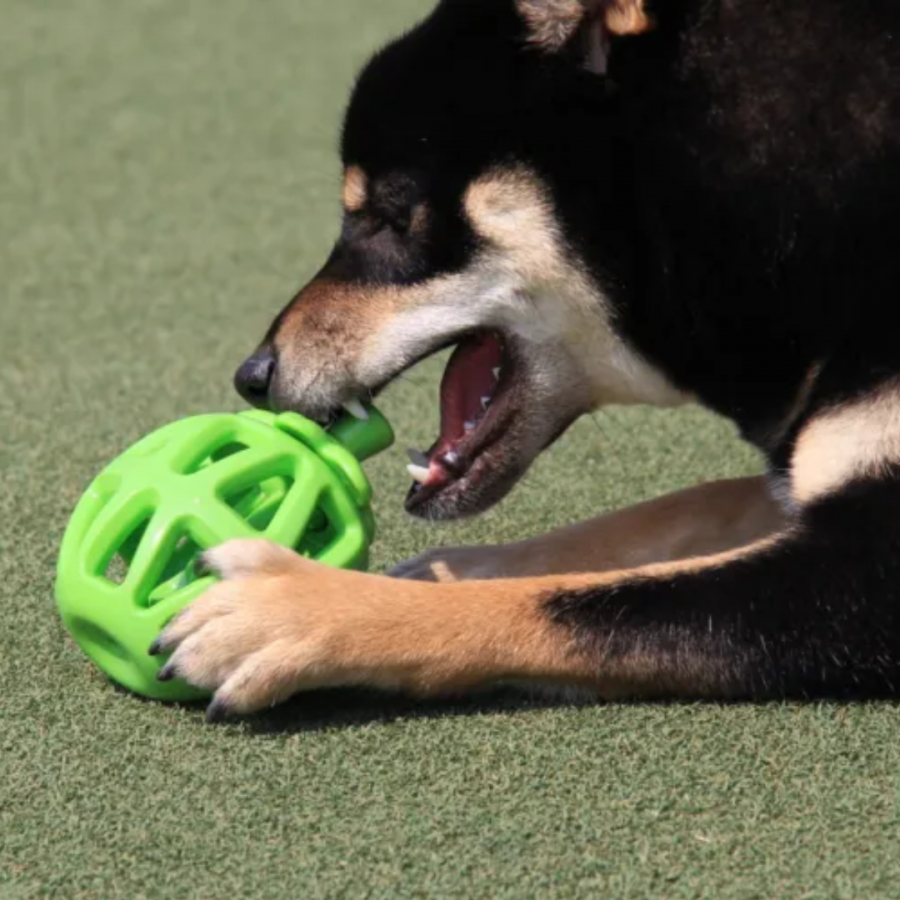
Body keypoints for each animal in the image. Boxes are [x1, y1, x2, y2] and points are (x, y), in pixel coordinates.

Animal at [149, 0, 900, 716]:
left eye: (392, 216)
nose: (253, 375)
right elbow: (676, 510)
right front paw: (446, 568)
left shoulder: (861, 578)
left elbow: (582, 603)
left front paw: (299, 607)